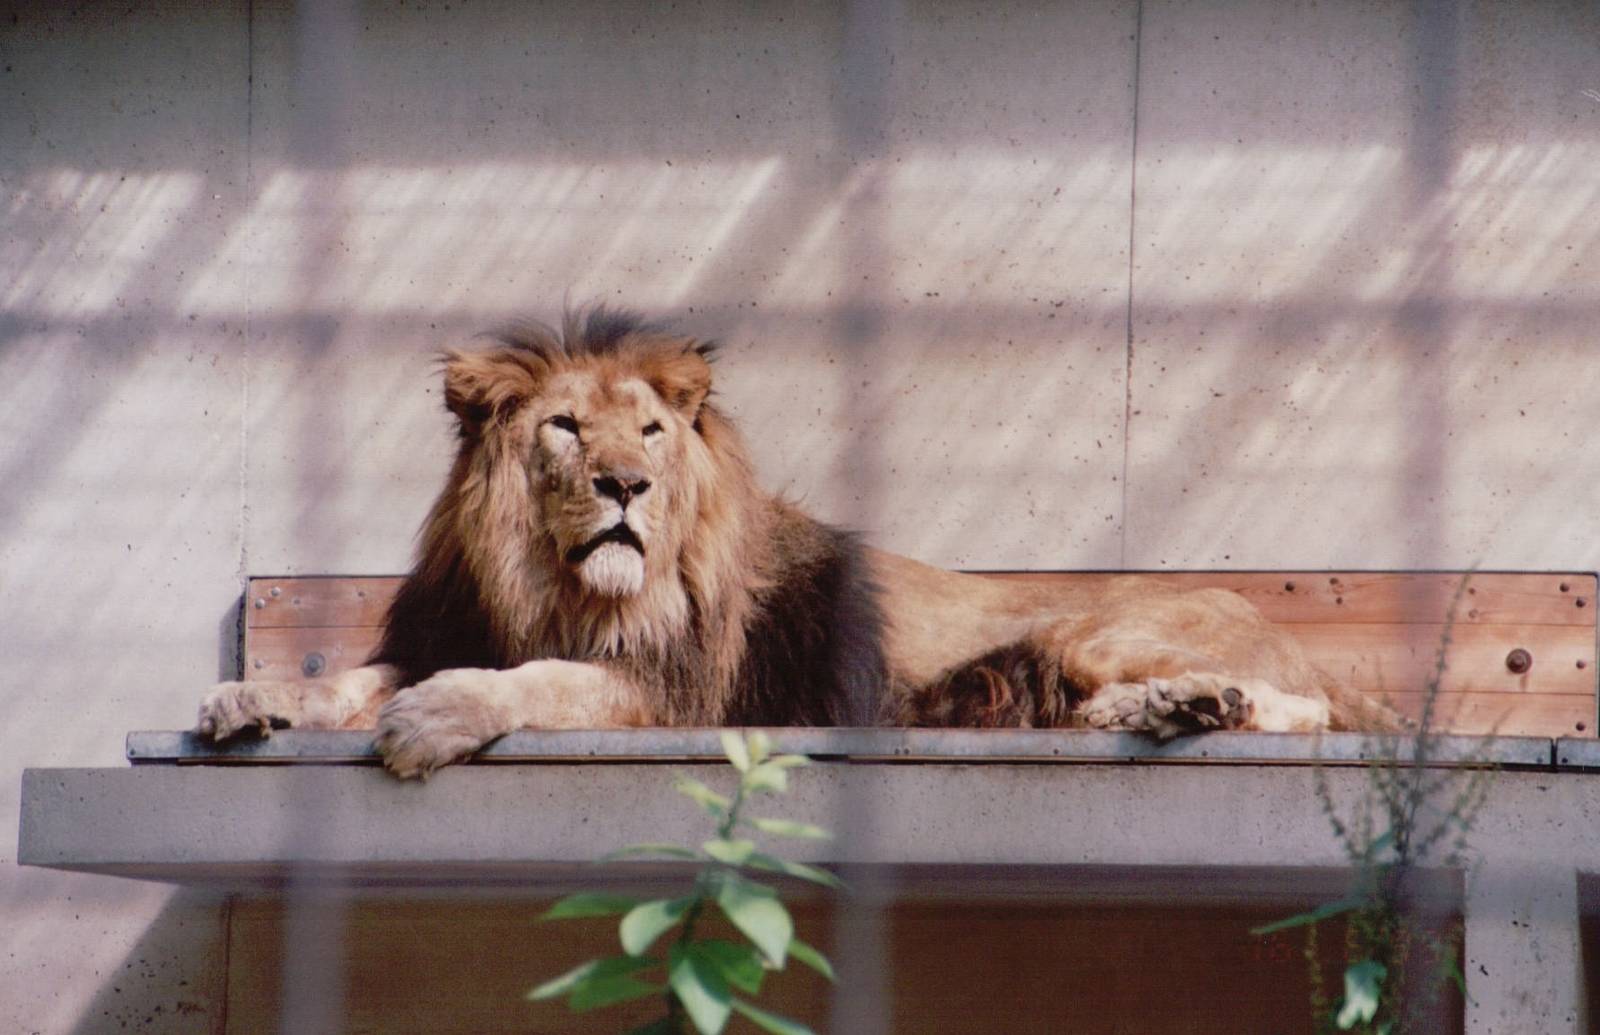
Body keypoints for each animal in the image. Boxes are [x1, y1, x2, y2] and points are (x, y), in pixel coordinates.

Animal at [197, 308, 1395, 777]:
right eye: (566, 427)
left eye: (651, 432)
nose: (626, 485)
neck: (549, 585)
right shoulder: (448, 625)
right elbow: (347, 680)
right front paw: (249, 698)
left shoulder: (671, 689)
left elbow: (537, 683)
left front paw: (434, 718)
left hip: (1101, 632)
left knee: (1307, 713)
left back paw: (1198, 703)